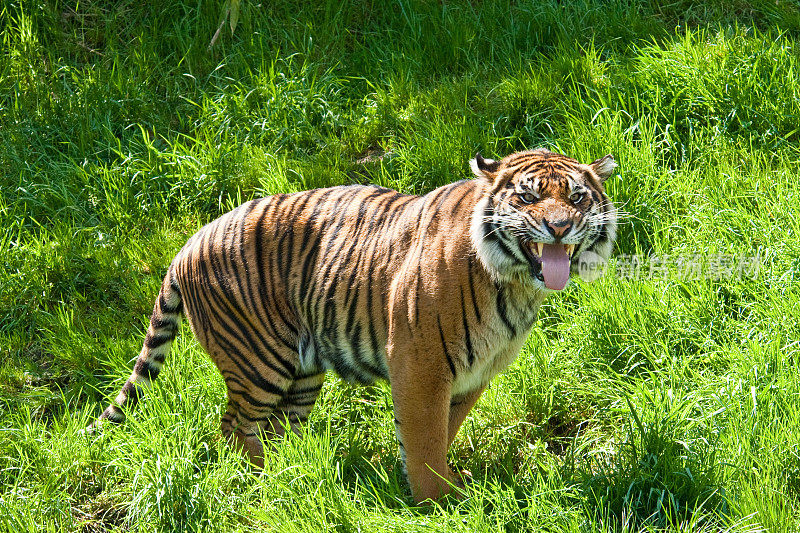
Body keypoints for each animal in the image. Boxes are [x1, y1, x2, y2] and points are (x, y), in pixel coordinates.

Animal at [92, 147, 620, 502]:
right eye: (527, 198)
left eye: (577, 197)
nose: (558, 227)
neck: (514, 284)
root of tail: (187, 243)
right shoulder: (421, 365)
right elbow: (425, 437)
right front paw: (438, 501)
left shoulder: (473, 375)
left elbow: (443, 430)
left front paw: (444, 482)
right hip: (259, 360)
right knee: (234, 425)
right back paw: (260, 480)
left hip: (302, 373)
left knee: (278, 427)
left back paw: (293, 473)